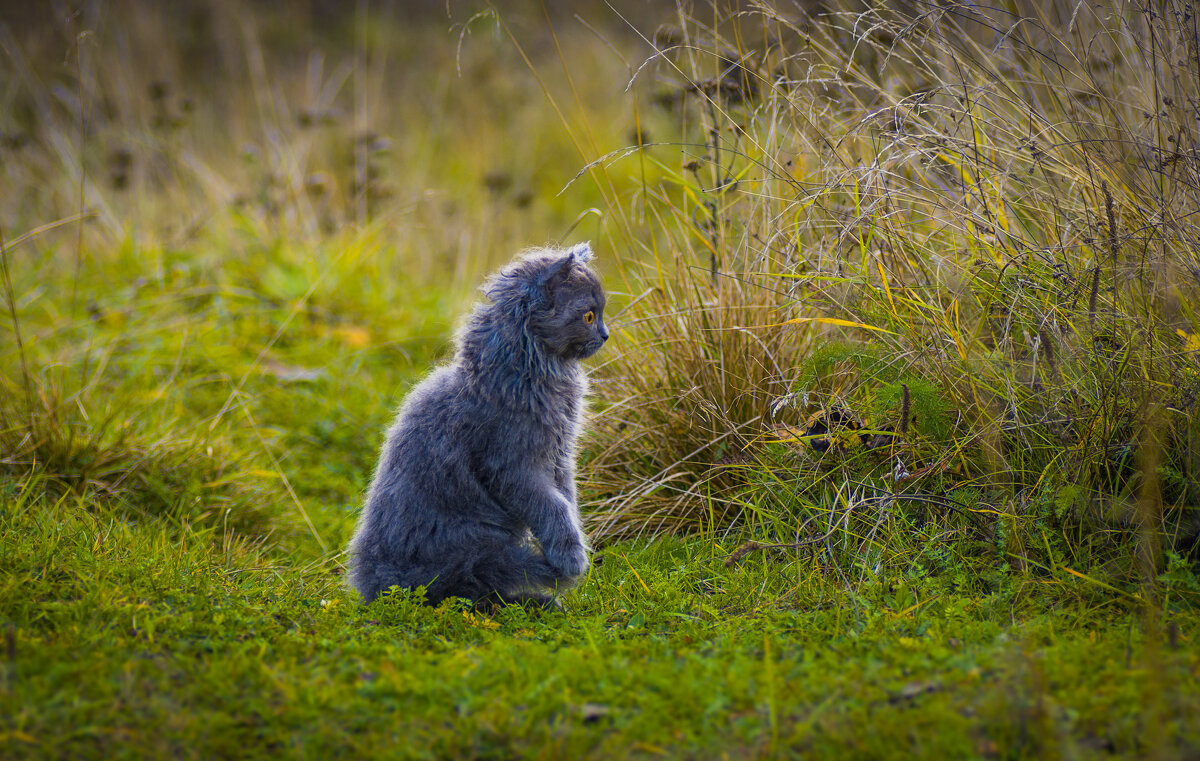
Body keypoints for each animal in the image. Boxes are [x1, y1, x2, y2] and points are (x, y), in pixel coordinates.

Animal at [348, 241, 609, 604]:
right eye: (588, 315)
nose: (606, 334)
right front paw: (571, 557)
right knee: (473, 589)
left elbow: (568, 502)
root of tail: (373, 582)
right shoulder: (513, 464)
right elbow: (553, 507)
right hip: (471, 544)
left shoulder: (561, 457)